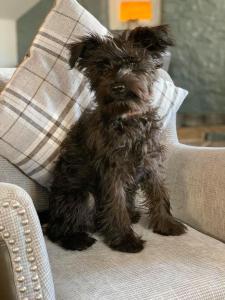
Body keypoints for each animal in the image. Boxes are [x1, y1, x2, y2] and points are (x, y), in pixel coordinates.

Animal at [46, 24, 186, 252]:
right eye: (102, 67)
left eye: (133, 63)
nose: (118, 86)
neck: (127, 119)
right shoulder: (112, 170)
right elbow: (116, 203)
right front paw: (125, 240)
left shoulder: (151, 162)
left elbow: (159, 192)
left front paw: (166, 223)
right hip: (81, 195)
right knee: (58, 229)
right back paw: (77, 239)